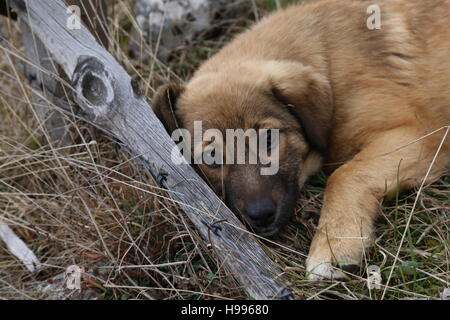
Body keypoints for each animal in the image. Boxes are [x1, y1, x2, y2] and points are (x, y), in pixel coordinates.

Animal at [152, 0, 450, 280]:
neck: (328, 60)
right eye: (211, 157)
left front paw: (333, 244)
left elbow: (344, 174)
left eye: (269, 138)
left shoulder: (418, 134)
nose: (261, 216)